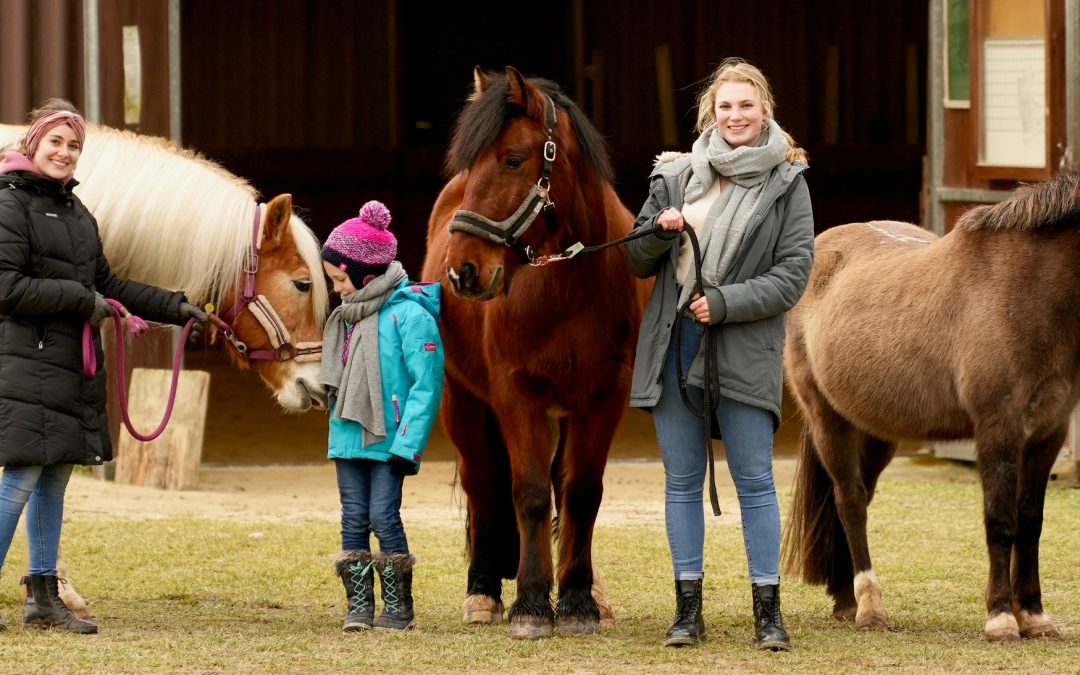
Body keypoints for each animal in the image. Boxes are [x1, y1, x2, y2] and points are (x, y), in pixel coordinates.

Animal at [421, 65, 648, 635]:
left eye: (513, 159)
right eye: (469, 164)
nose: (463, 271)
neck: (566, 285)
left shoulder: (603, 397)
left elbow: (581, 493)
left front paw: (578, 599)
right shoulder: (514, 393)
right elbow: (526, 492)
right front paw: (529, 602)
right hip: (463, 405)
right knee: (483, 484)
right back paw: (483, 591)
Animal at [781, 169, 1080, 643]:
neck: (1028, 288)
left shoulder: (1049, 431)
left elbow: (1031, 523)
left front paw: (1034, 616)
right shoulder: (999, 428)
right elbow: (1001, 521)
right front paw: (1001, 618)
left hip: (875, 431)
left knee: (857, 499)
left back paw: (846, 599)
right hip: (828, 419)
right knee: (850, 501)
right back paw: (870, 608)